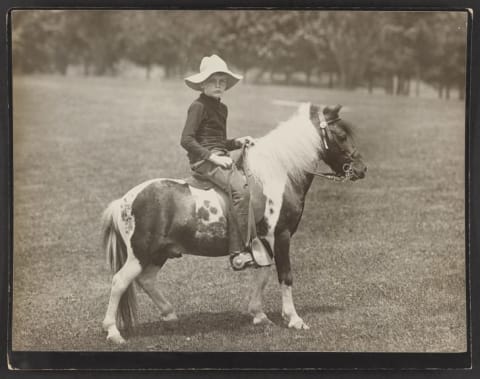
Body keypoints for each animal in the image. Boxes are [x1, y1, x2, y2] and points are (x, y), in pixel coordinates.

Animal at [100, 102, 364, 346]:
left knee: (146, 280)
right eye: (341, 136)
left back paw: (170, 314)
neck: (278, 176)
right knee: (120, 282)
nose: (361, 170)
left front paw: (259, 314)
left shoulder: (263, 242)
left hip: (159, 253)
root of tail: (124, 201)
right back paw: (113, 332)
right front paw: (294, 319)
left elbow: (263, 274)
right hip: (140, 254)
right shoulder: (281, 236)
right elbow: (285, 275)